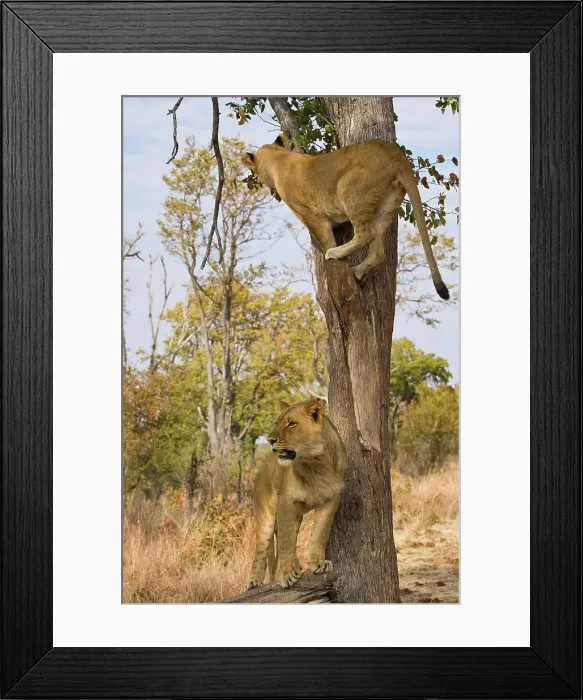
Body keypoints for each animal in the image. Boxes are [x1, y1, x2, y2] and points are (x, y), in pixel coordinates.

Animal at [242, 134, 450, 299]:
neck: (279, 158)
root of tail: (395, 152)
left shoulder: (311, 215)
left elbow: (325, 240)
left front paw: (330, 254)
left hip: (350, 190)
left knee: (366, 234)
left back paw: (336, 254)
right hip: (388, 203)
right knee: (378, 251)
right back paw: (356, 272)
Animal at [247, 398, 346, 590]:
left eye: (291, 424)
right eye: (277, 423)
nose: (270, 440)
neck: (317, 465)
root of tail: (260, 470)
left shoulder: (332, 498)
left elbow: (320, 533)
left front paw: (318, 563)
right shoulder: (286, 501)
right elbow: (286, 542)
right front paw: (287, 574)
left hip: (296, 517)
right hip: (267, 516)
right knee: (261, 551)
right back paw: (254, 581)